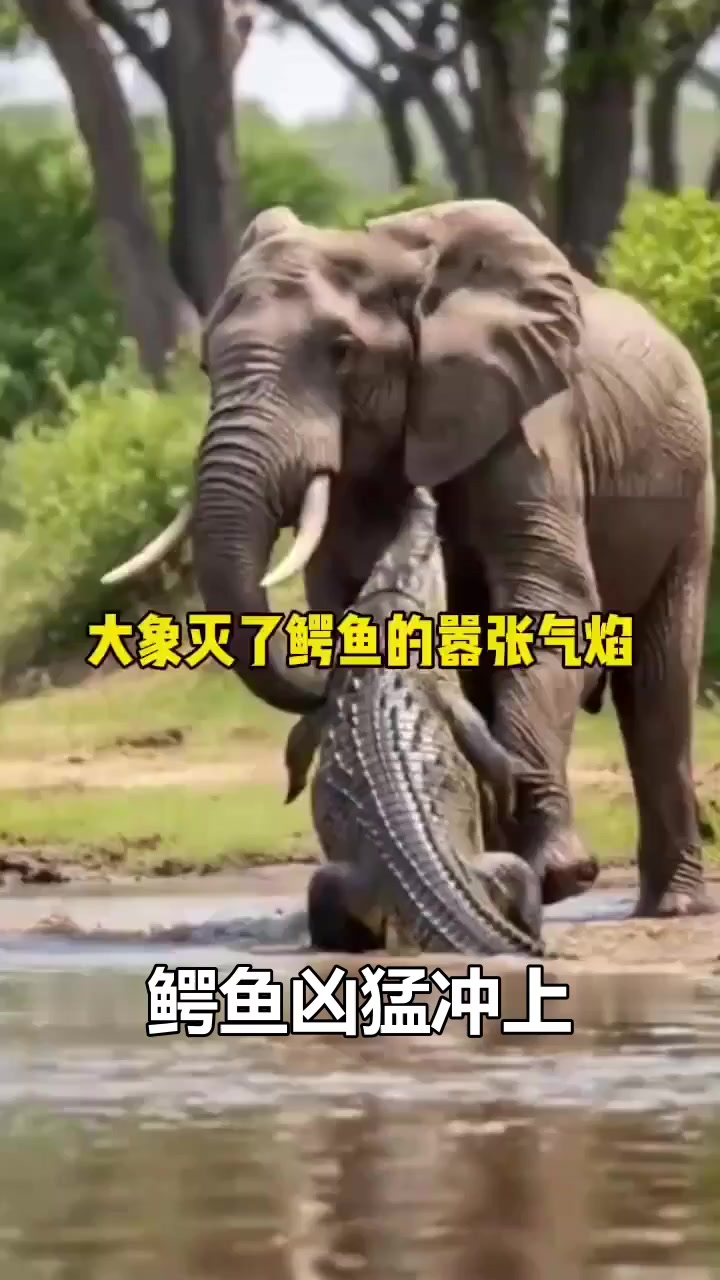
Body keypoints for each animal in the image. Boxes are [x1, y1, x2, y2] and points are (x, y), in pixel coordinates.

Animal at [101, 199, 716, 919]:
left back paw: (667, 906)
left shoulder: (530, 425)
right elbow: (349, 595)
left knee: (657, 688)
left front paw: (561, 876)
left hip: (691, 486)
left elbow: (549, 601)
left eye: (342, 353)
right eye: (204, 368)